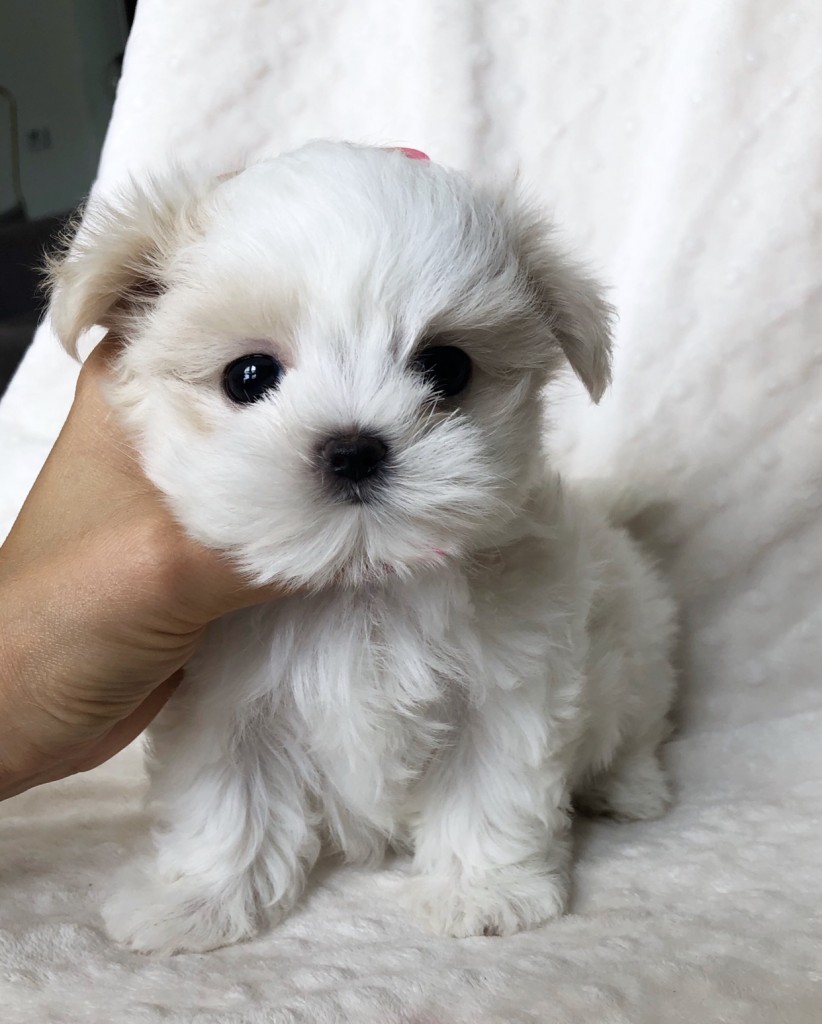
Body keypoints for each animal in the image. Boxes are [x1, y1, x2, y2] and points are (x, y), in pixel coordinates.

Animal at [49, 140, 675, 954]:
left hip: (638, 641)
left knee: (635, 727)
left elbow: (491, 787)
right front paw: (197, 901)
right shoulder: (224, 703)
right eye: (248, 376)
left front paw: (483, 893)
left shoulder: (510, 686)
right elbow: (226, 802)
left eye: (447, 367)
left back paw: (631, 789)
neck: (360, 581)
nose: (352, 449)